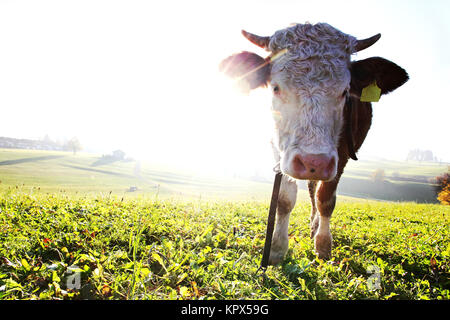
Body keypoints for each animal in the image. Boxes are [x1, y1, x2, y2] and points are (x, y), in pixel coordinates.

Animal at [220, 21, 410, 262]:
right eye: (275, 87)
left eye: (345, 91)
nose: (314, 163)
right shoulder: (279, 150)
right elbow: (284, 199)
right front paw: (277, 248)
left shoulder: (341, 155)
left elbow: (325, 199)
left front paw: (323, 244)